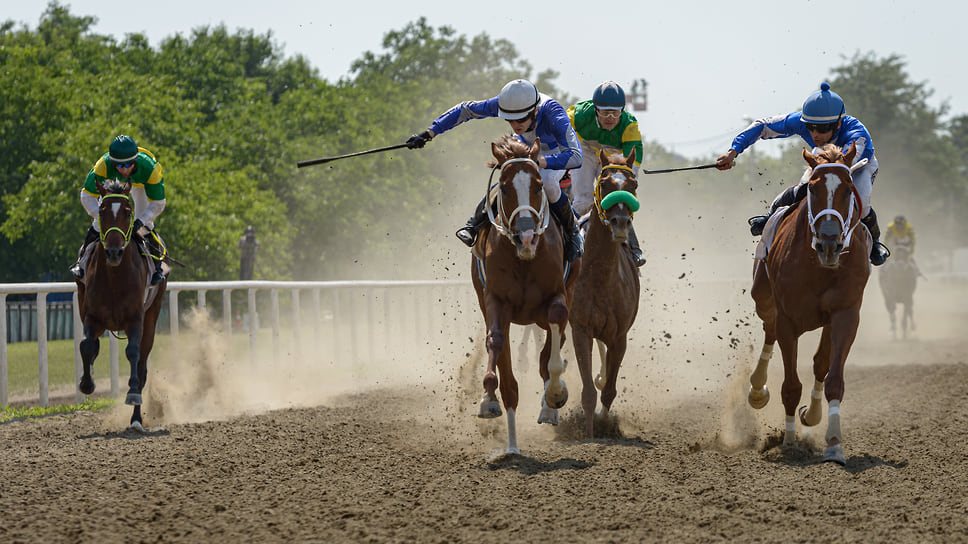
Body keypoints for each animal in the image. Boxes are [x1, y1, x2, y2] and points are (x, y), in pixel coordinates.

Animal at [76, 178, 167, 430]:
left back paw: (136, 419)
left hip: (152, 315)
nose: (114, 252)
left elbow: (133, 353)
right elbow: (86, 345)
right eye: (101, 211)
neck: (115, 277)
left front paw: (133, 394)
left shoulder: (135, 318)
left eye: (127, 212)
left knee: (142, 366)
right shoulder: (92, 316)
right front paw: (86, 383)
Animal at [470, 135, 580, 454]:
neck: (525, 259)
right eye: (504, 187)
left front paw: (554, 396)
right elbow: (496, 344)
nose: (527, 236)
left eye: (538, 186)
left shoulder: (557, 298)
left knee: (553, 347)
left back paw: (548, 407)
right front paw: (488, 399)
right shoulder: (495, 301)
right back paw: (512, 445)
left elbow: (553, 352)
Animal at [744, 142, 872, 466]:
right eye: (812, 188)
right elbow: (790, 386)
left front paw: (834, 444)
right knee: (769, 331)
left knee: (819, 363)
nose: (829, 243)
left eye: (848, 189)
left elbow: (832, 377)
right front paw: (789, 444)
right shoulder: (787, 318)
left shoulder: (845, 313)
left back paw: (811, 414)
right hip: (763, 298)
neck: (819, 266)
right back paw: (757, 390)